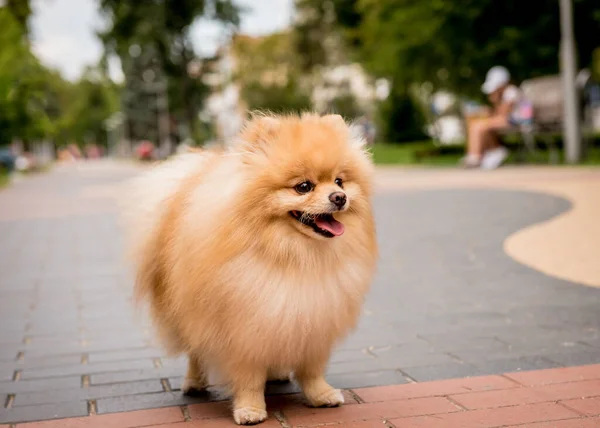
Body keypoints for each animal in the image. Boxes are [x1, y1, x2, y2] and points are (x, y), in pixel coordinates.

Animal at [121, 113, 376, 424]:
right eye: (303, 187)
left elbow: (311, 369)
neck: (295, 256)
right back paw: (194, 383)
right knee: (195, 352)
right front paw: (250, 409)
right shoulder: (242, 328)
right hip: (188, 314)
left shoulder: (314, 321)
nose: (339, 197)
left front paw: (321, 395)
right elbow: (248, 378)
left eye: (339, 181)